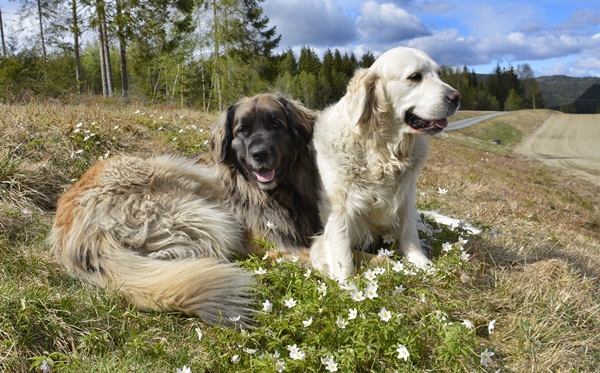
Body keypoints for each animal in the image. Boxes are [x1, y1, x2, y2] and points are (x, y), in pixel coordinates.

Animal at [49, 93, 322, 326]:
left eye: (275, 125)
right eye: (242, 131)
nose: (259, 154)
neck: (279, 193)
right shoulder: (270, 243)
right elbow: (313, 254)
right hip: (187, 192)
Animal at [312, 45, 462, 280]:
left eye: (439, 74)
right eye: (415, 76)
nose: (456, 97)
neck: (384, 152)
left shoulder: (407, 197)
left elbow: (410, 234)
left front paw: (424, 265)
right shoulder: (338, 212)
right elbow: (342, 257)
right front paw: (348, 286)